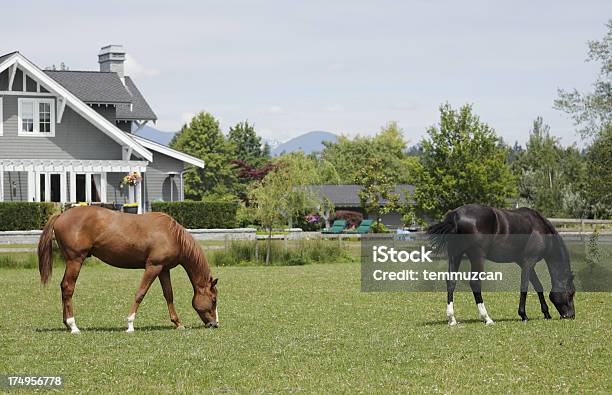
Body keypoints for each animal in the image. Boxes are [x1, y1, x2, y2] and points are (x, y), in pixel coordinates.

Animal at [35, 207, 218, 334]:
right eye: (214, 300)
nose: (215, 324)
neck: (171, 234)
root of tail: (60, 216)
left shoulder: (163, 269)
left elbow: (169, 295)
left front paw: (178, 323)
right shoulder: (153, 267)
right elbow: (140, 293)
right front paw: (130, 324)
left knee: (63, 287)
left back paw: (67, 323)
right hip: (75, 261)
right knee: (68, 288)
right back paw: (73, 326)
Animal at [428, 204, 576, 324]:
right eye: (571, 293)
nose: (571, 315)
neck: (540, 228)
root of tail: (456, 216)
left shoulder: (523, 262)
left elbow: (538, 286)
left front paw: (546, 313)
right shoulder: (529, 262)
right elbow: (525, 286)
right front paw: (523, 315)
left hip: (455, 255)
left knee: (451, 282)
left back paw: (452, 319)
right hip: (477, 257)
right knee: (475, 283)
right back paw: (487, 318)